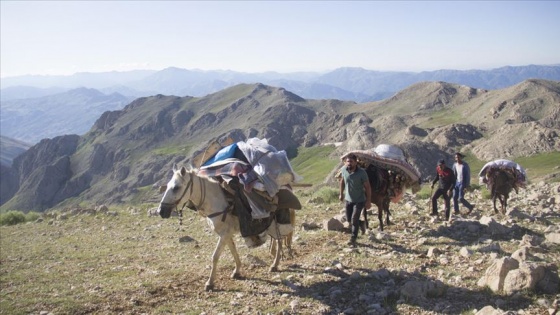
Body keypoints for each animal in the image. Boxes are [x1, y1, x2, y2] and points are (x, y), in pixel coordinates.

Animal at [158, 165, 296, 292]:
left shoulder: (224, 234)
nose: (161, 211)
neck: (217, 202)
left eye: (176, 187)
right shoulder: (226, 234)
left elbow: (215, 256)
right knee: (277, 240)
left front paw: (210, 283)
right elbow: (233, 251)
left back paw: (275, 265)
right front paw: (237, 271)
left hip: (278, 223)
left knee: (280, 241)